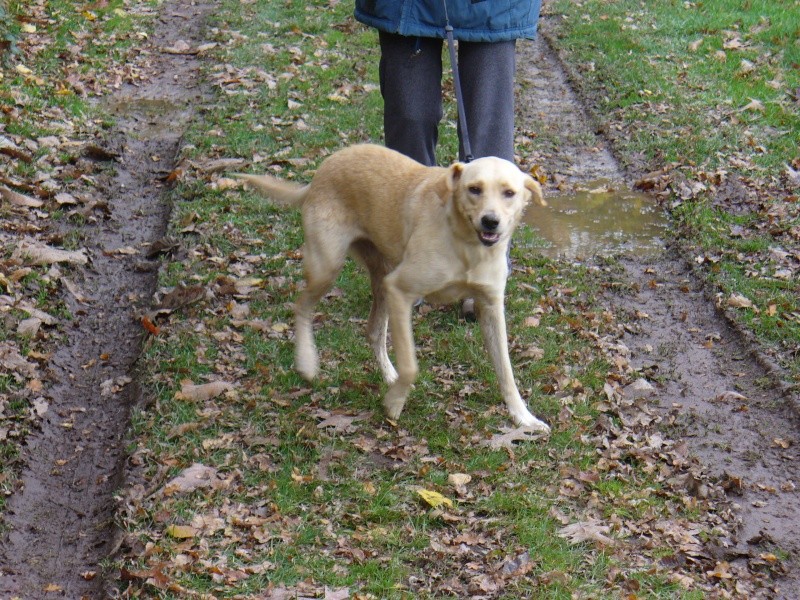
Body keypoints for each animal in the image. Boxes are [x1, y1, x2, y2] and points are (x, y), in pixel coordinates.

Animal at [236, 145, 552, 432]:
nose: (490, 221)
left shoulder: (490, 308)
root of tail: (322, 171)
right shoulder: (401, 291)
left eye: (509, 193)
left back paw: (388, 374)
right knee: (302, 306)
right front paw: (394, 404)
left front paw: (523, 416)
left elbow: (506, 370)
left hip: (381, 277)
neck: (466, 246)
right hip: (329, 266)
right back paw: (307, 362)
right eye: (474, 189)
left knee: (373, 331)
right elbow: (411, 365)